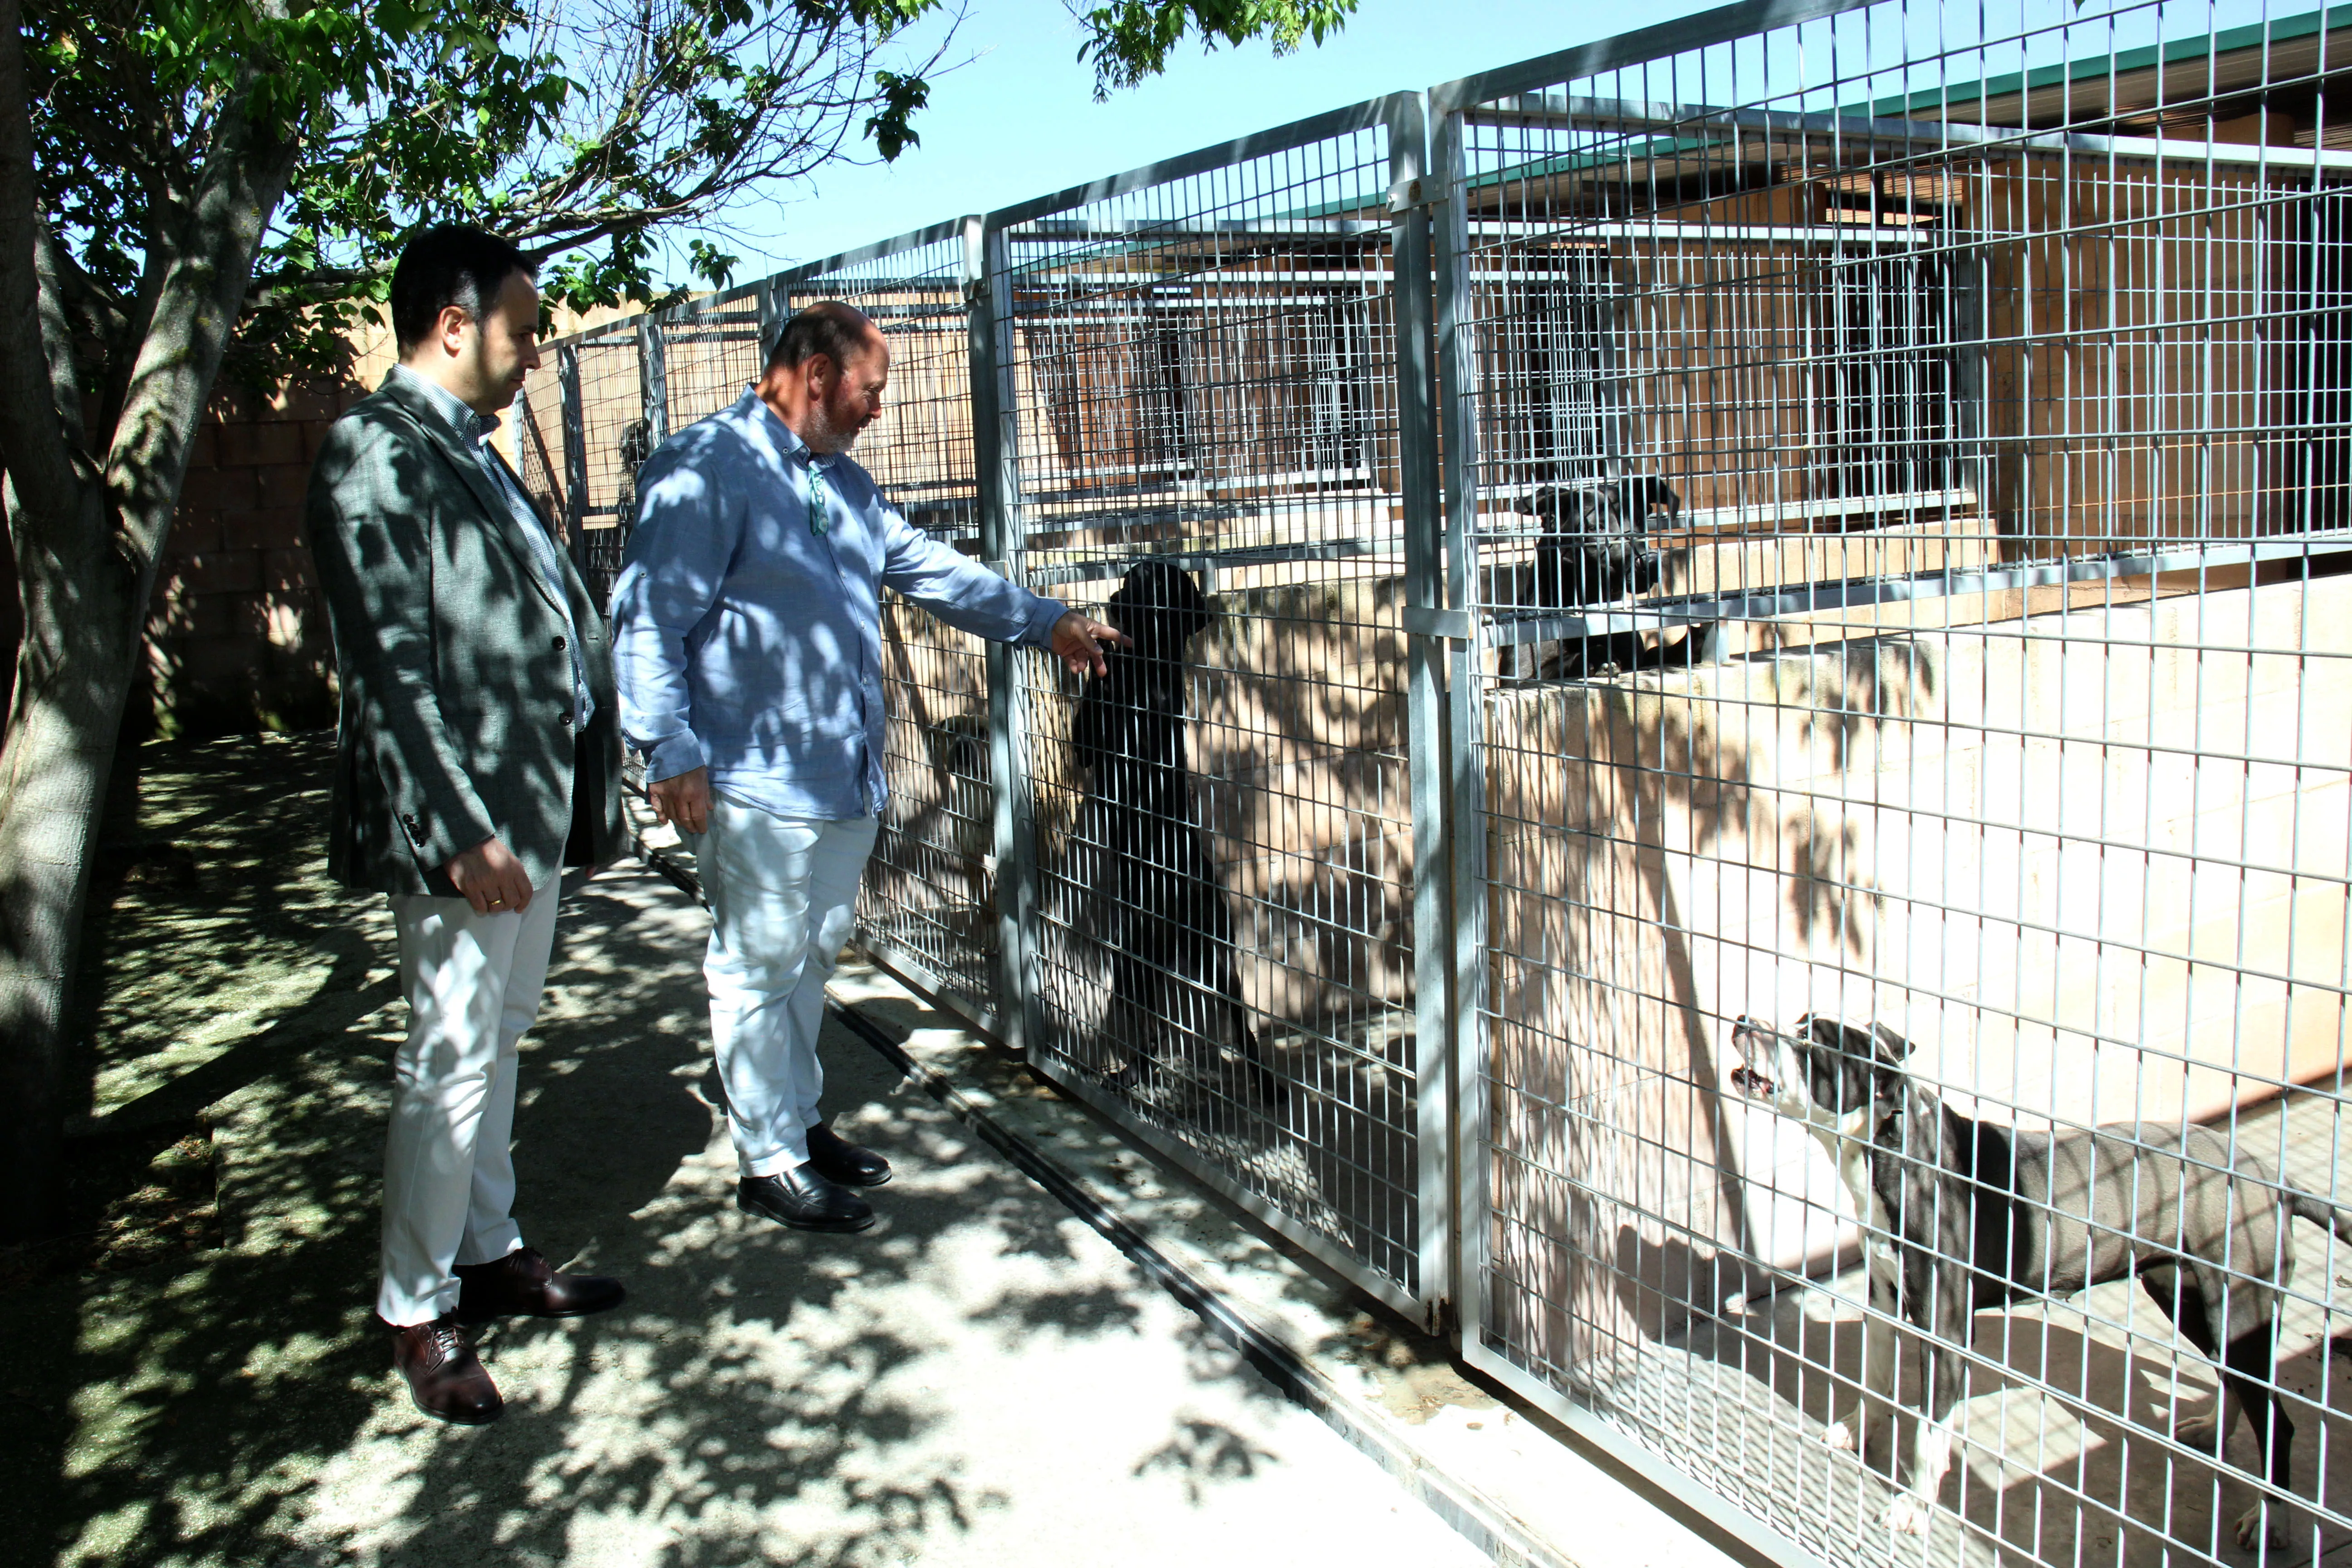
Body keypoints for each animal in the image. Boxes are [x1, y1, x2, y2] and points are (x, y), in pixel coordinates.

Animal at [1072, 557, 1289, 1109]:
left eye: (1146, 577)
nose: (1115, 592)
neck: (1153, 659)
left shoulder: (1098, 737)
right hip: (1153, 965)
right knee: (1166, 1031)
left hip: (1193, 956)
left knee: (1218, 1027)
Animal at [1505, 472, 1693, 681]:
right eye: (1598, 528)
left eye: (1639, 520)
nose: (1650, 562)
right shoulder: (1523, 675)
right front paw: (1596, 657)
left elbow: (1655, 652)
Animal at [1731, 1020, 2352, 1542]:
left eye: (1811, 1044)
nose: (1742, 1022)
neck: (1894, 1150)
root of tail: (2271, 1178)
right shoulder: (1884, 1299)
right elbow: (1876, 1379)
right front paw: (1858, 1431)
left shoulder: (1947, 1332)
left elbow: (1930, 1434)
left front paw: (1913, 1508)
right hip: (2189, 1296)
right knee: (2239, 1385)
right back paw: (2213, 1432)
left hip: (2239, 1304)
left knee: (2278, 1423)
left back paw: (2268, 1521)